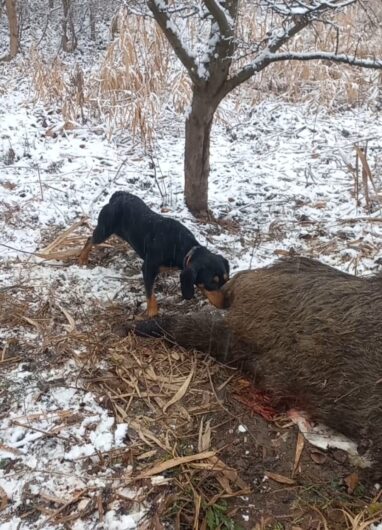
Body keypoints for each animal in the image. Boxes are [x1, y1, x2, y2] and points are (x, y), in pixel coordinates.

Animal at [78, 190, 228, 314]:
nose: (226, 304)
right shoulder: (148, 268)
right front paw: (152, 314)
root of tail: (117, 196)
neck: (180, 246)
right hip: (104, 229)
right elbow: (150, 295)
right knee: (90, 239)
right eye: (212, 283)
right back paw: (82, 258)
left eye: (226, 280)